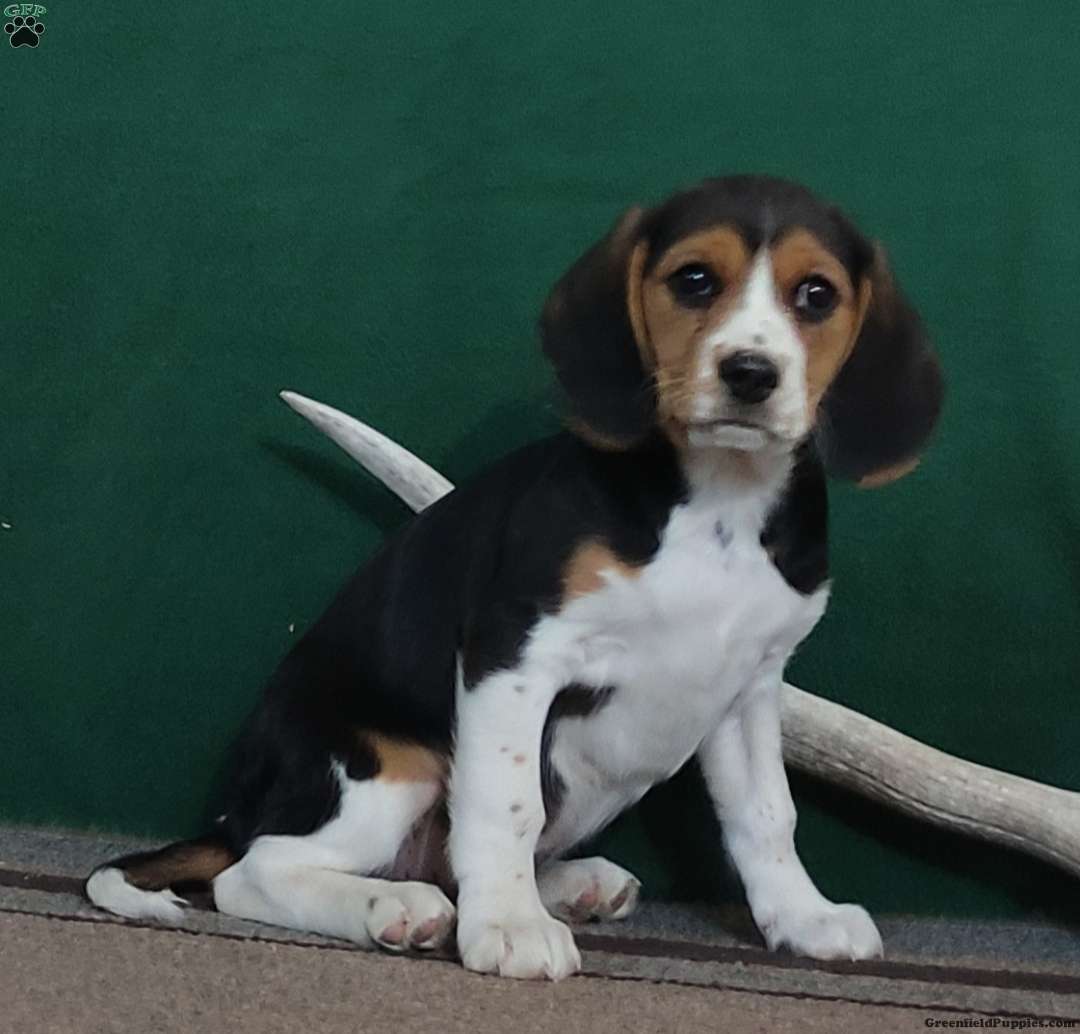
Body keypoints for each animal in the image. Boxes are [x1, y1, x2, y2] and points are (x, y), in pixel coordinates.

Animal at [88, 175, 941, 976]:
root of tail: (234, 812)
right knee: (254, 874)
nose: (751, 372)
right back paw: (396, 904)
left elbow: (767, 816)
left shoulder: (750, 689)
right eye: (695, 280)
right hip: (387, 767)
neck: (718, 500)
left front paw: (802, 917)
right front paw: (509, 927)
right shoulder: (517, 654)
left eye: (816, 295)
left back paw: (567, 884)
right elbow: (508, 804)